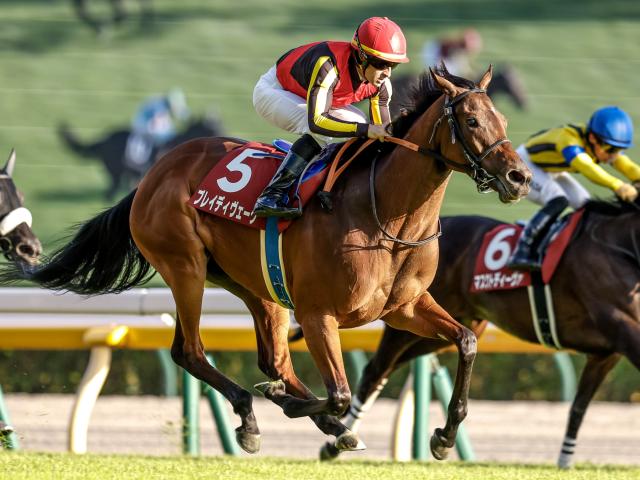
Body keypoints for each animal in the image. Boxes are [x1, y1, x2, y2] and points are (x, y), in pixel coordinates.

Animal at [320, 201, 640, 466]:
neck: (620, 249)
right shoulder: (622, 327)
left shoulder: (605, 354)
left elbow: (578, 408)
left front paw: (565, 461)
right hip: (407, 323)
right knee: (374, 372)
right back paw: (336, 443)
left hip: (445, 330)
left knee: (386, 370)